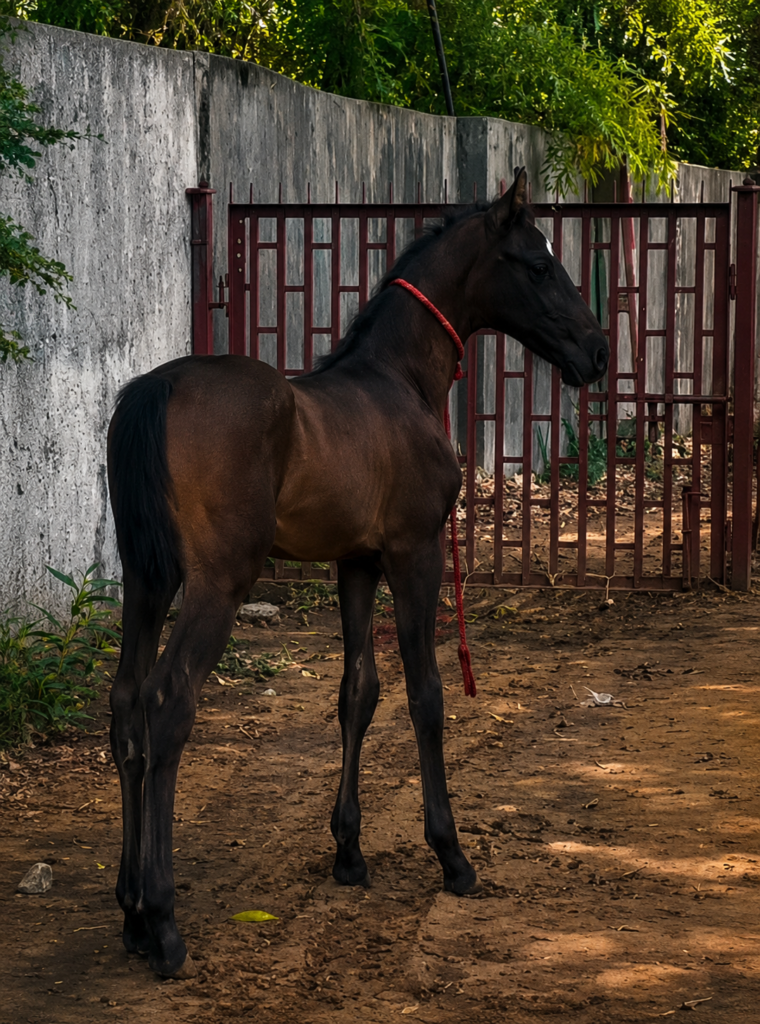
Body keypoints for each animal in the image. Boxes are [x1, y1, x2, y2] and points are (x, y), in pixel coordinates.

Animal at [106, 168, 609, 979]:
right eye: (537, 264)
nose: (596, 353)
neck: (396, 382)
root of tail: (158, 388)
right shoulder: (415, 554)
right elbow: (425, 695)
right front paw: (451, 855)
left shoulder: (357, 565)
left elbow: (358, 693)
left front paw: (348, 850)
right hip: (216, 584)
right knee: (167, 700)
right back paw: (163, 921)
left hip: (146, 582)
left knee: (125, 703)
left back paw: (127, 911)